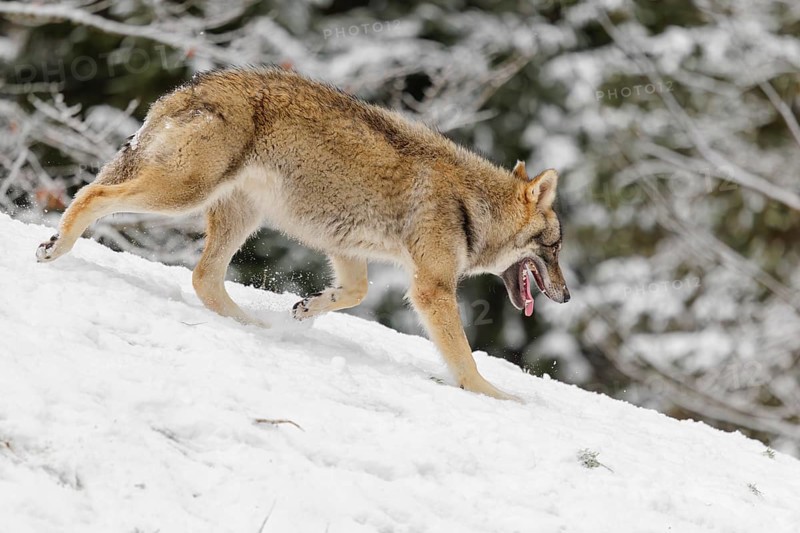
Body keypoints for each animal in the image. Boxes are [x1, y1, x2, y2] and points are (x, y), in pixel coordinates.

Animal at [36, 67, 570, 400]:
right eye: (556, 248)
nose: (566, 297)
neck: (472, 206)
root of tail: (185, 89)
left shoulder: (346, 248)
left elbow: (354, 293)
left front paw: (305, 309)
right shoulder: (431, 288)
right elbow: (465, 360)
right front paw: (497, 397)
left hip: (235, 216)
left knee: (204, 279)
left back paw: (256, 326)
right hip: (182, 194)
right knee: (92, 195)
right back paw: (55, 247)